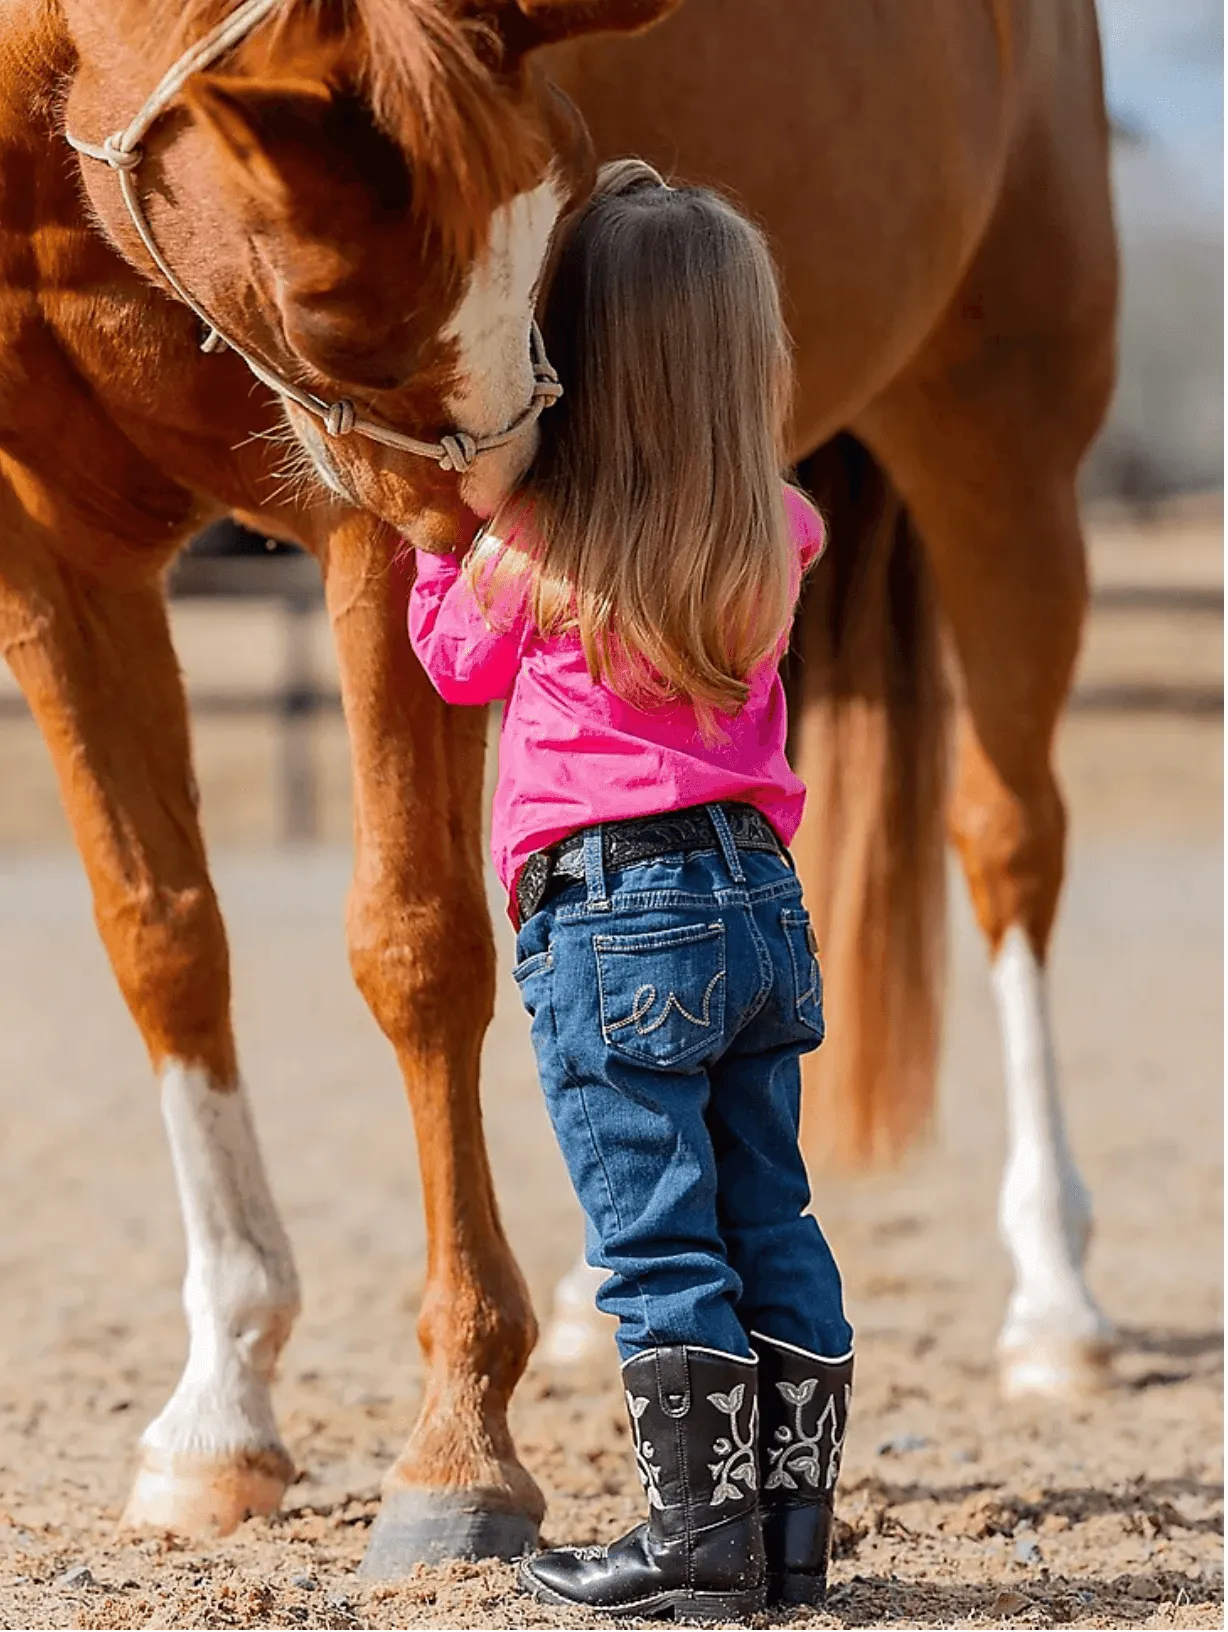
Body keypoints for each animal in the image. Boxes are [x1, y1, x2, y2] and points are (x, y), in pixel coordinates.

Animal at [0, 0, 1110, 1579]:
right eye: (332, 306)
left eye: (563, 195)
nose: (521, 522)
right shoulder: (56, 549)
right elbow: (162, 939)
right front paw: (220, 1414)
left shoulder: (366, 541)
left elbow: (416, 948)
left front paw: (458, 1448)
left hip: (1001, 448)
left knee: (1010, 847)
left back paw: (1056, 1305)